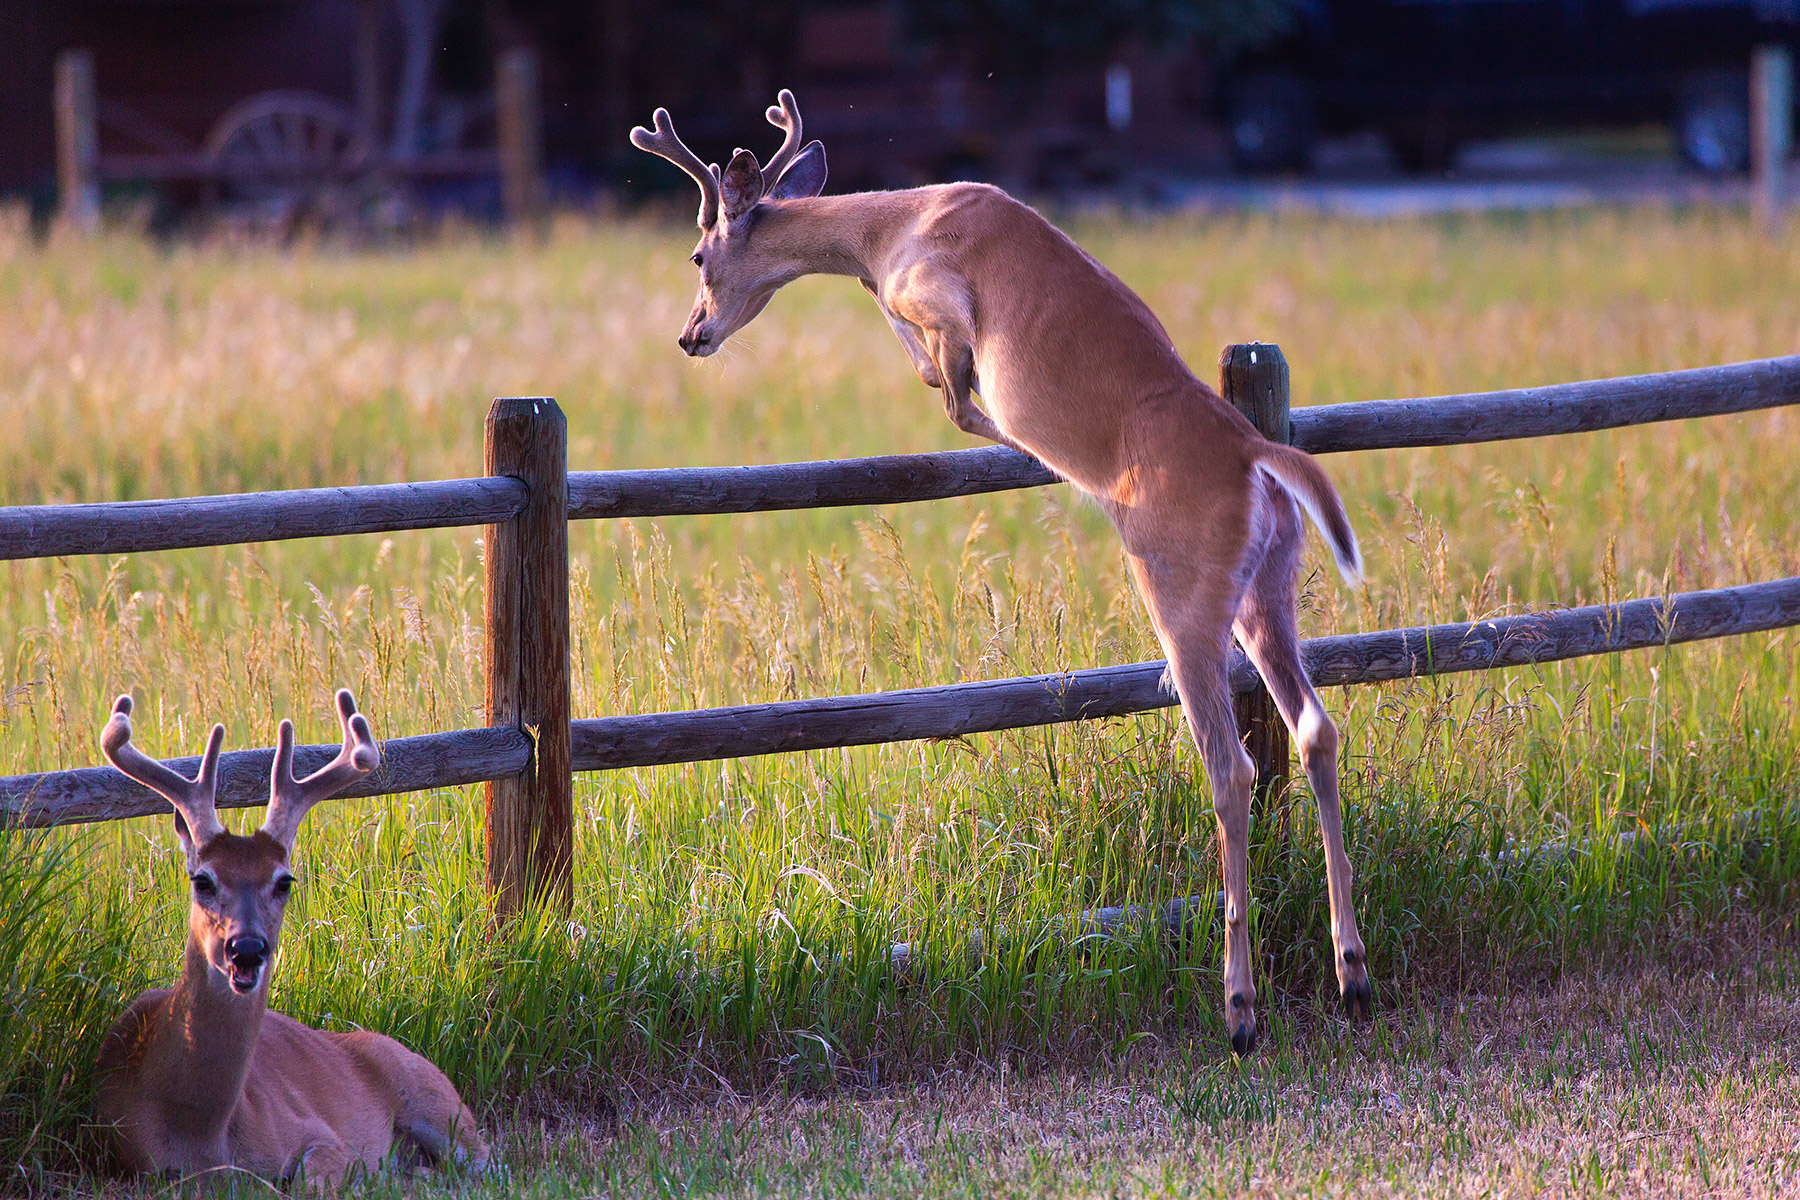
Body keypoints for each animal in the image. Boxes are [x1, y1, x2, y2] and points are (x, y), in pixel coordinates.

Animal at [92, 689, 490, 1189]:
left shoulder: (326, 1137)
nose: (246, 949)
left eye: (284, 881)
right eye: (202, 880)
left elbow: (308, 1180)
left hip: (442, 1108)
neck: (198, 1129)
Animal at [633, 91, 1371, 1055]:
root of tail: (1257, 453)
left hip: (1183, 588)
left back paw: (1240, 1006)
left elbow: (951, 392)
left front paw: (1012, 438)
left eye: (697, 253)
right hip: (1269, 585)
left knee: (1231, 767)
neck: (892, 227)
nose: (689, 335)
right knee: (1316, 727)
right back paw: (1352, 971)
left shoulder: (934, 294)